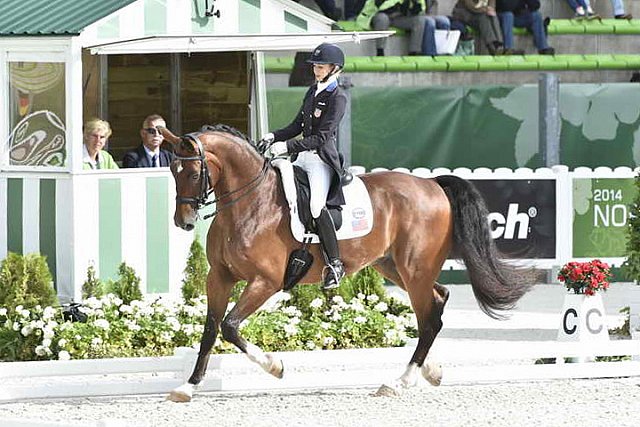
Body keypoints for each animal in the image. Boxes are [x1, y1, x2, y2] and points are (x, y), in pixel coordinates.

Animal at [161, 123, 536, 402]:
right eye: (172, 171)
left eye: (193, 172)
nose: (184, 222)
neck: (251, 203)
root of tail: (431, 184)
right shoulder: (219, 278)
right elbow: (211, 330)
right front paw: (187, 387)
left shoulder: (265, 282)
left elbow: (230, 326)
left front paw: (275, 366)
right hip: (393, 266)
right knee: (436, 302)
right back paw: (430, 371)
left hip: (414, 267)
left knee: (429, 316)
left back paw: (399, 382)